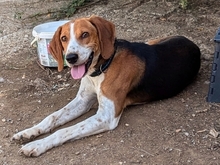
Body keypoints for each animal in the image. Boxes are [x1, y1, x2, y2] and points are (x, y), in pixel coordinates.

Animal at [12, 15, 201, 156]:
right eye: (64, 38)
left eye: (85, 34)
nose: (71, 58)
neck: (101, 68)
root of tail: (192, 42)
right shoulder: (83, 101)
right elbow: (52, 117)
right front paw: (29, 132)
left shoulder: (105, 117)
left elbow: (64, 130)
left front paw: (37, 145)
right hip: (151, 41)